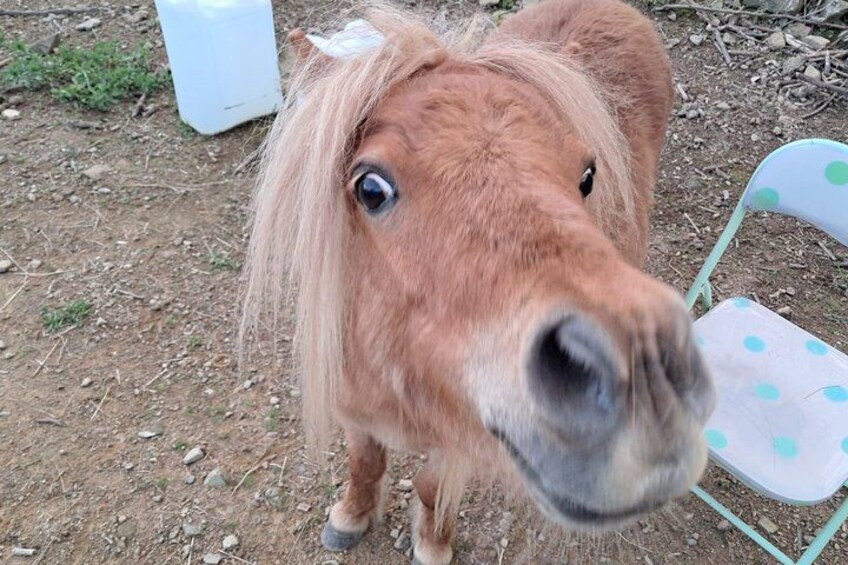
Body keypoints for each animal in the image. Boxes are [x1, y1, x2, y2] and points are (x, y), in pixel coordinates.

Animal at [241, 0, 715, 563]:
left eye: (587, 175)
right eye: (370, 188)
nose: (647, 376)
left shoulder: (461, 439)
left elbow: (429, 488)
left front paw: (432, 544)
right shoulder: (356, 414)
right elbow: (365, 463)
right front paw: (349, 518)